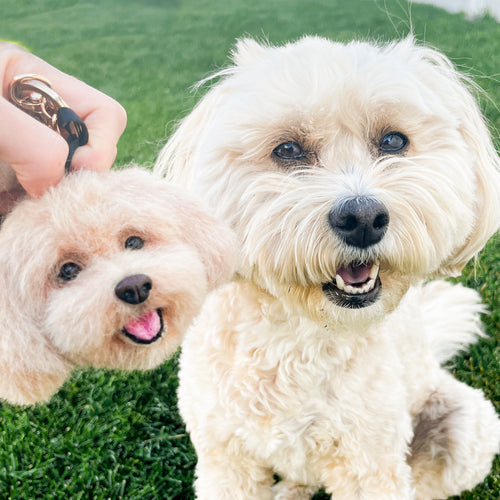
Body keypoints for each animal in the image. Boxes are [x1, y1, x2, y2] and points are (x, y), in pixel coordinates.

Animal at [154, 36, 500, 500]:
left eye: (393, 141)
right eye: (287, 150)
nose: (363, 218)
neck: (298, 335)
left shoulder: (369, 465)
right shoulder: (226, 458)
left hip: (467, 425)